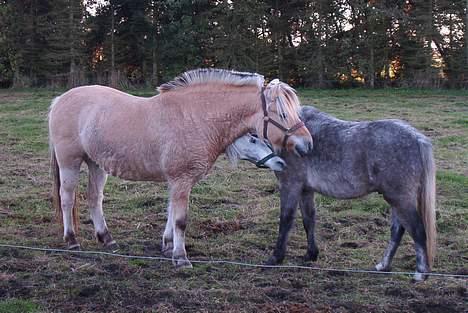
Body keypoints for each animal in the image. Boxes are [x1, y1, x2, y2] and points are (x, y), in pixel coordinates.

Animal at [48, 68, 310, 266]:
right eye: (283, 114)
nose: (307, 144)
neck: (196, 117)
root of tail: (60, 99)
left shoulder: (177, 181)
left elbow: (171, 213)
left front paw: (167, 246)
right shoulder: (181, 180)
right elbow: (181, 219)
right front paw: (181, 257)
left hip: (96, 164)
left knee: (94, 198)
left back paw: (106, 238)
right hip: (69, 162)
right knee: (67, 198)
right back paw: (71, 240)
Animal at [266, 106, 438, 280]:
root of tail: (418, 138)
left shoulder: (290, 185)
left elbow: (286, 220)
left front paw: (276, 258)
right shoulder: (306, 190)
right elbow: (308, 220)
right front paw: (311, 255)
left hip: (400, 199)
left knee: (417, 230)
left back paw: (420, 274)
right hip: (396, 200)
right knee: (397, 231)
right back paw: (383, 266)